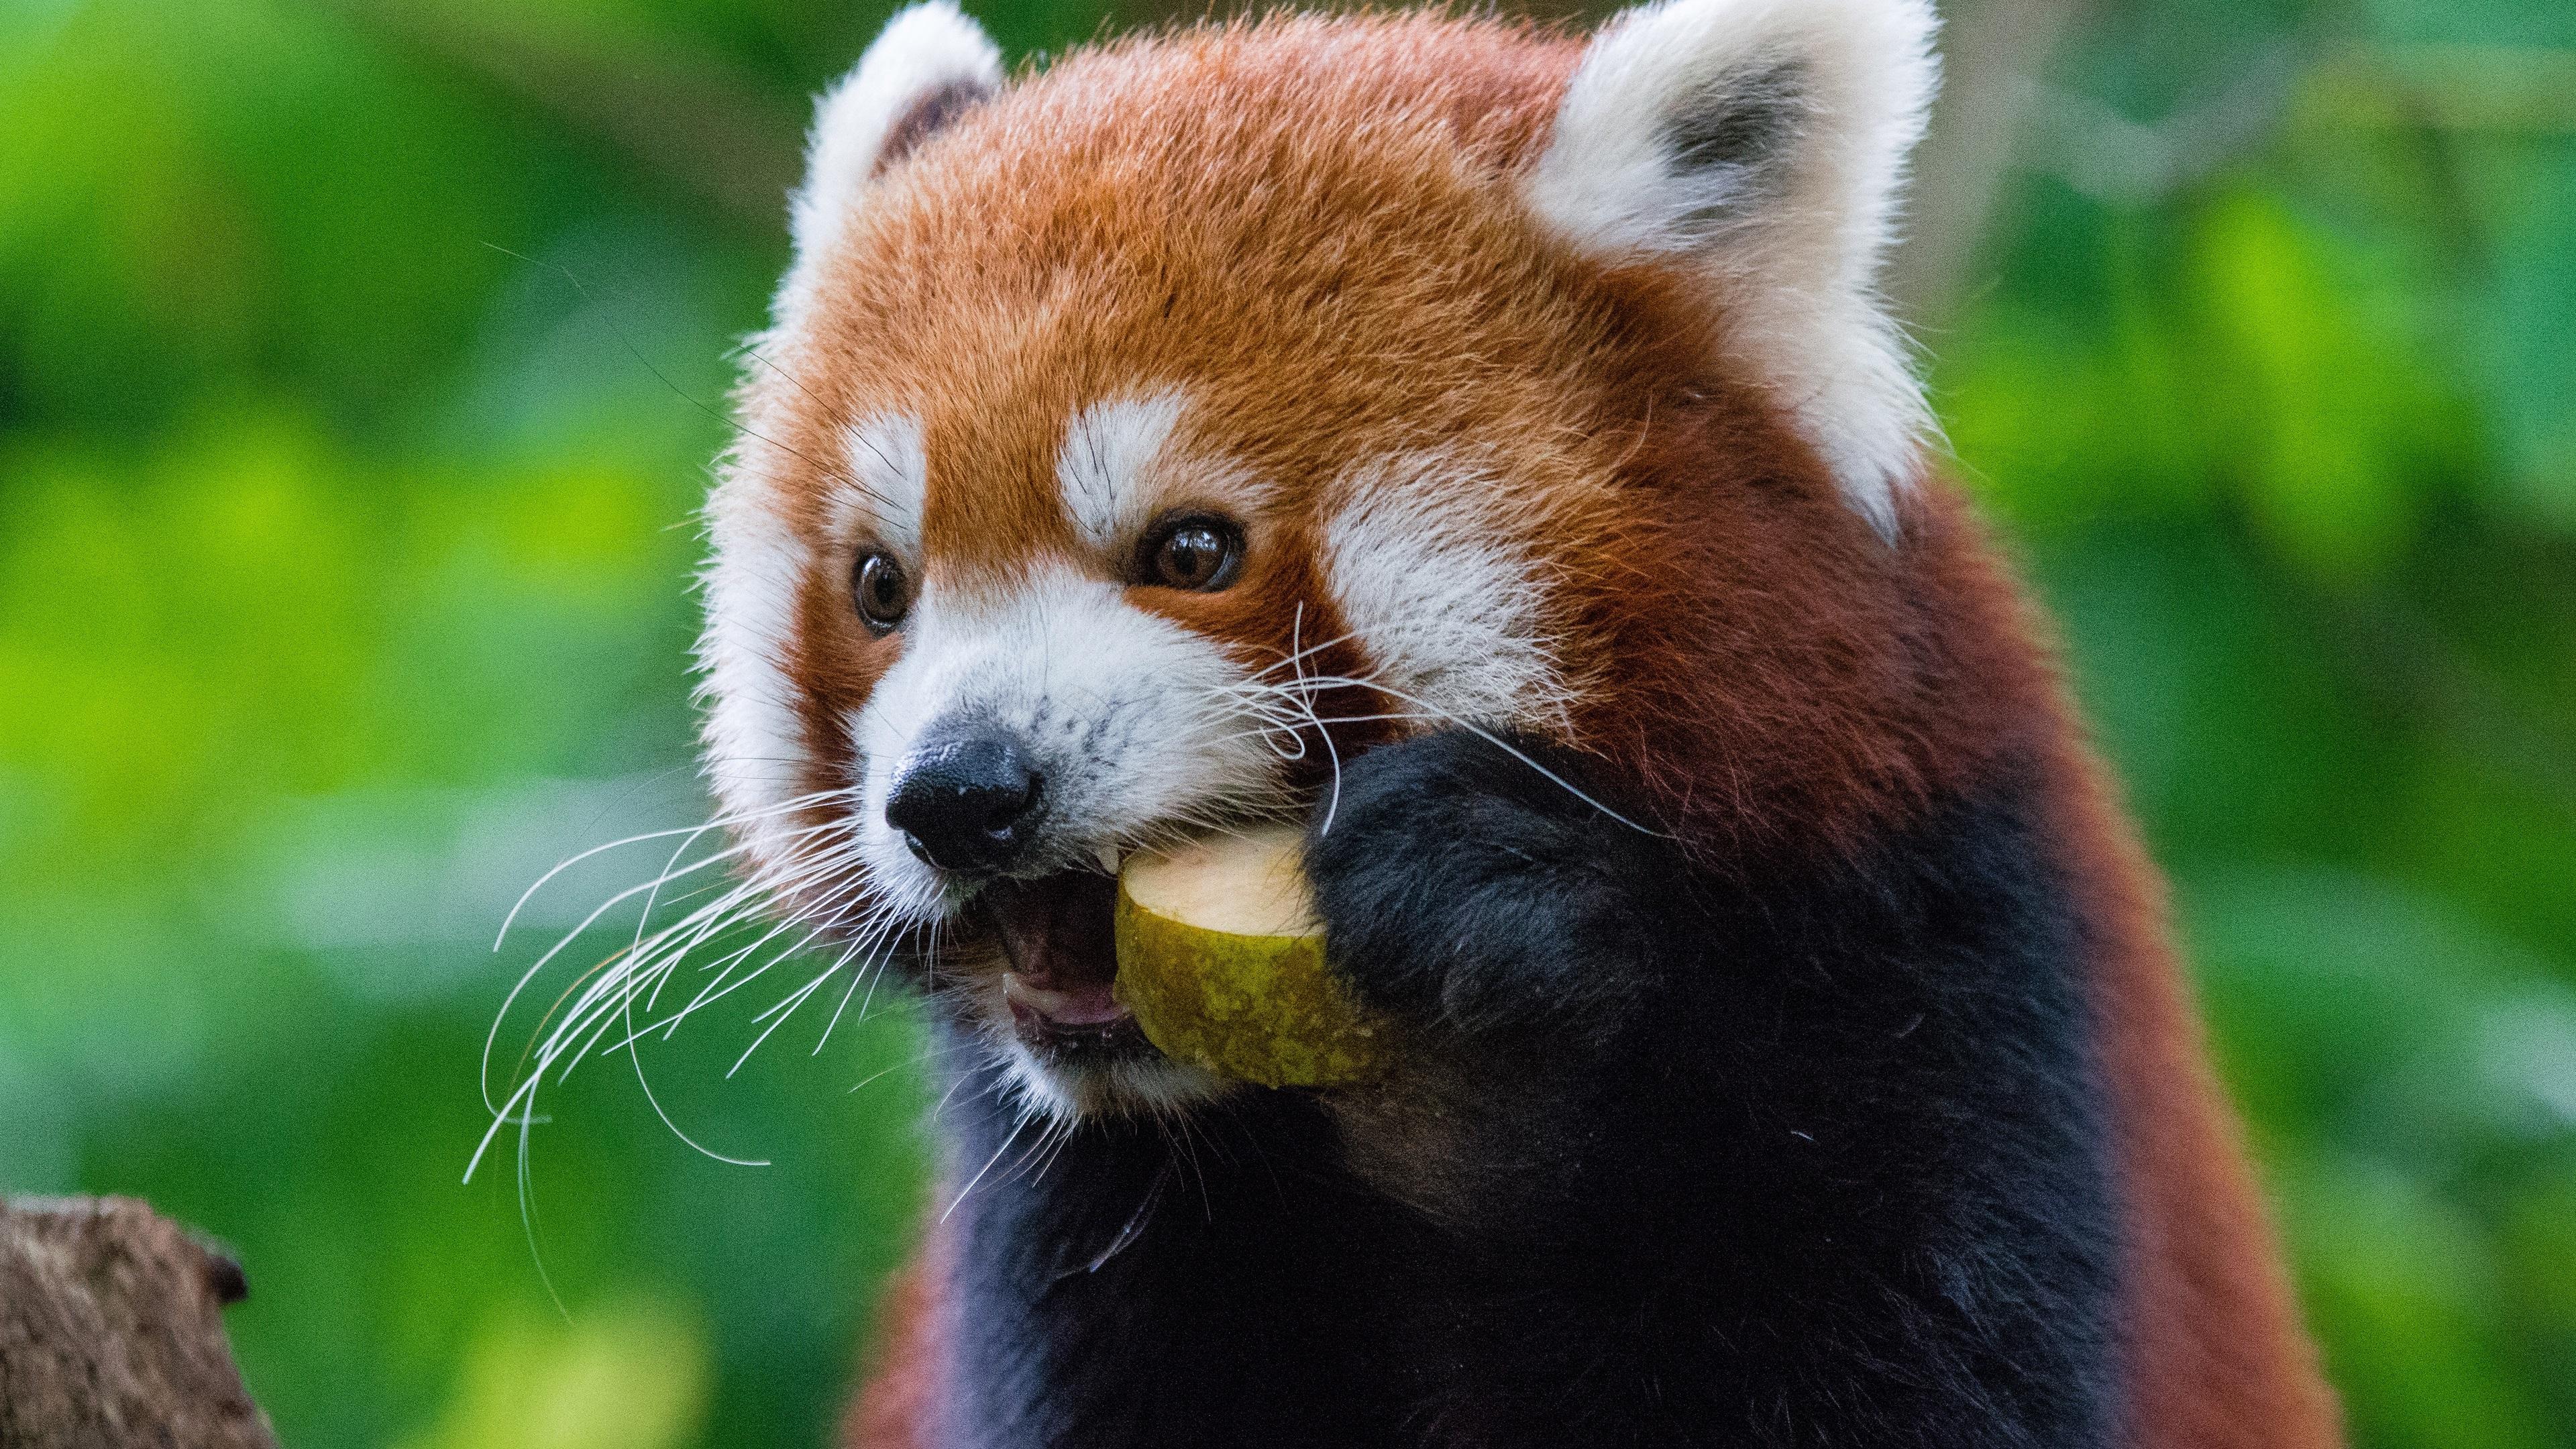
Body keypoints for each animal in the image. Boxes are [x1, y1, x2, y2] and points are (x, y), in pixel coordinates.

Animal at [695, 5, 2349, 1433]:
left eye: (1191, 550)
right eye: (881, 586)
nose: (959, 795)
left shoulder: (1935, 979)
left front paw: (1495, 915)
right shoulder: (1079, 1214)